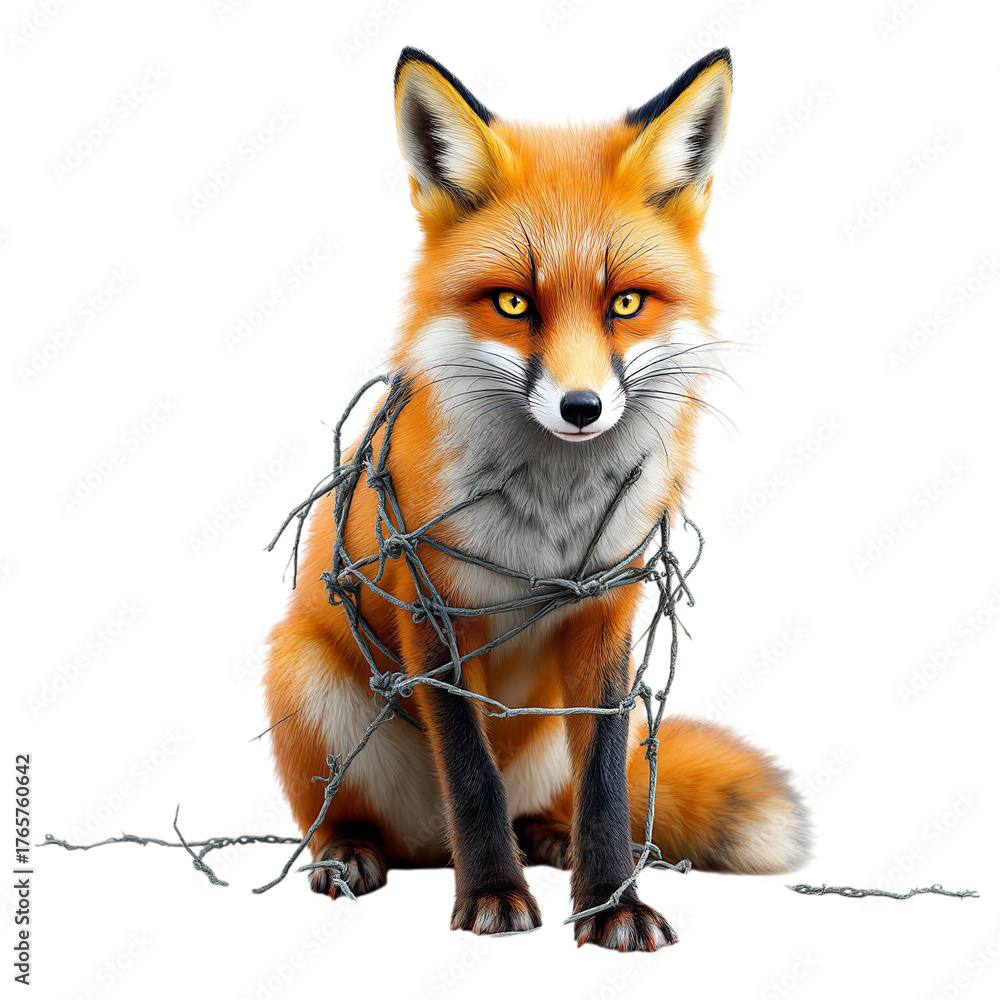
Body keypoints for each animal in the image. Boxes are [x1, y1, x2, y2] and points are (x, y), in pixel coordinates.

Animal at [263, 46, 809, 952]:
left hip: (545, 729)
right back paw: (352, 852)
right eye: (515, 302)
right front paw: (492, 896)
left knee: (556, 799)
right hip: (305, 677)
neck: (548, 524)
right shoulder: (435, 612)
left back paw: (549, 840)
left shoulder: (607, 613)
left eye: (625, 302)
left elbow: (608, 782)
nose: (582, 408)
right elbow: (471, 775)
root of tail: (425, 848)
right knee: (343, 817)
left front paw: (613, 904)